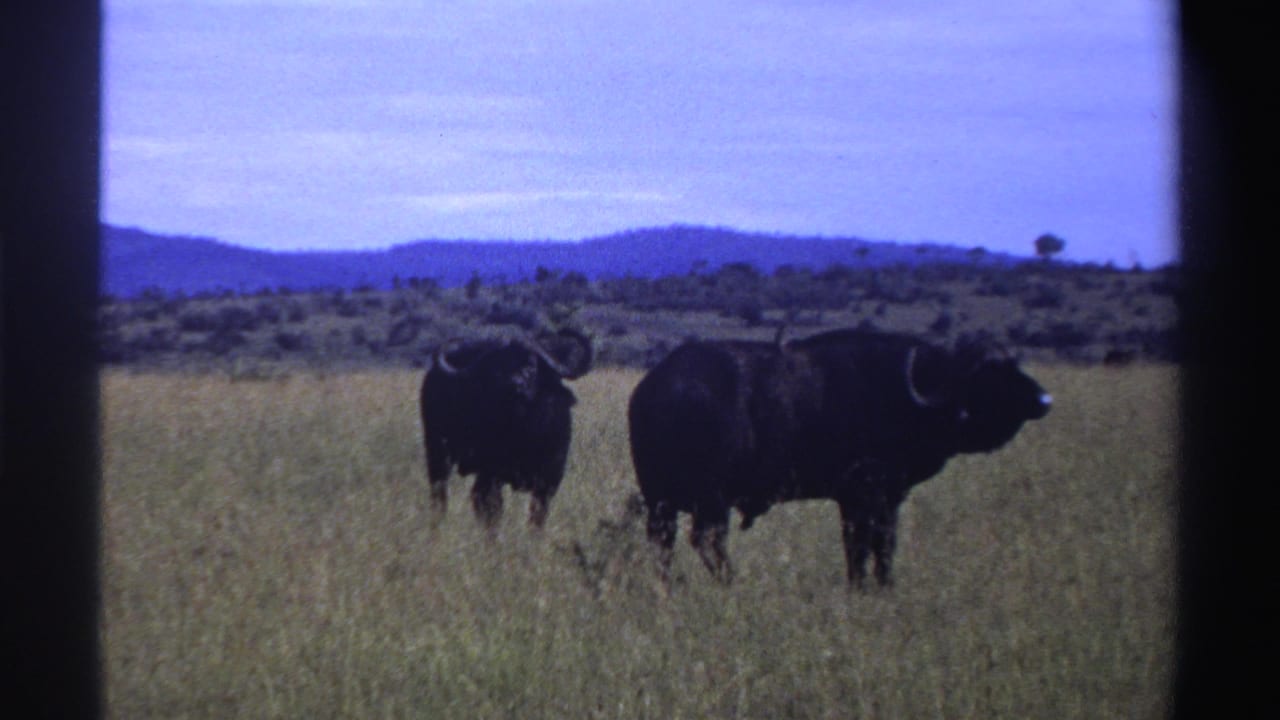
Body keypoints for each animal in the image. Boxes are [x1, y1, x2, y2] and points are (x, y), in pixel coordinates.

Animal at [420, 329, 592, 533]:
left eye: (531, 365)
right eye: (498, 367)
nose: (514, 385)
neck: (522, 433)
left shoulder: (549, 479)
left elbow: (538, 516)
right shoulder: (491, 476)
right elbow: (492, 513)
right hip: (438, 452)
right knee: (440, 492)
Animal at [627, 328, 1051, 588]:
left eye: (1014, 363)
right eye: (990, 371)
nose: (1044, 400)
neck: (911, 394)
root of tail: (655, 389)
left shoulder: (876, 501)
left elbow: (877, 545)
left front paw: (878, 586)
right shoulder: (866, 496)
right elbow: (865, 544)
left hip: (661, 502)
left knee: (664, 544)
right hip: (711, 500)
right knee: (707, 540)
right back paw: (731, 582)